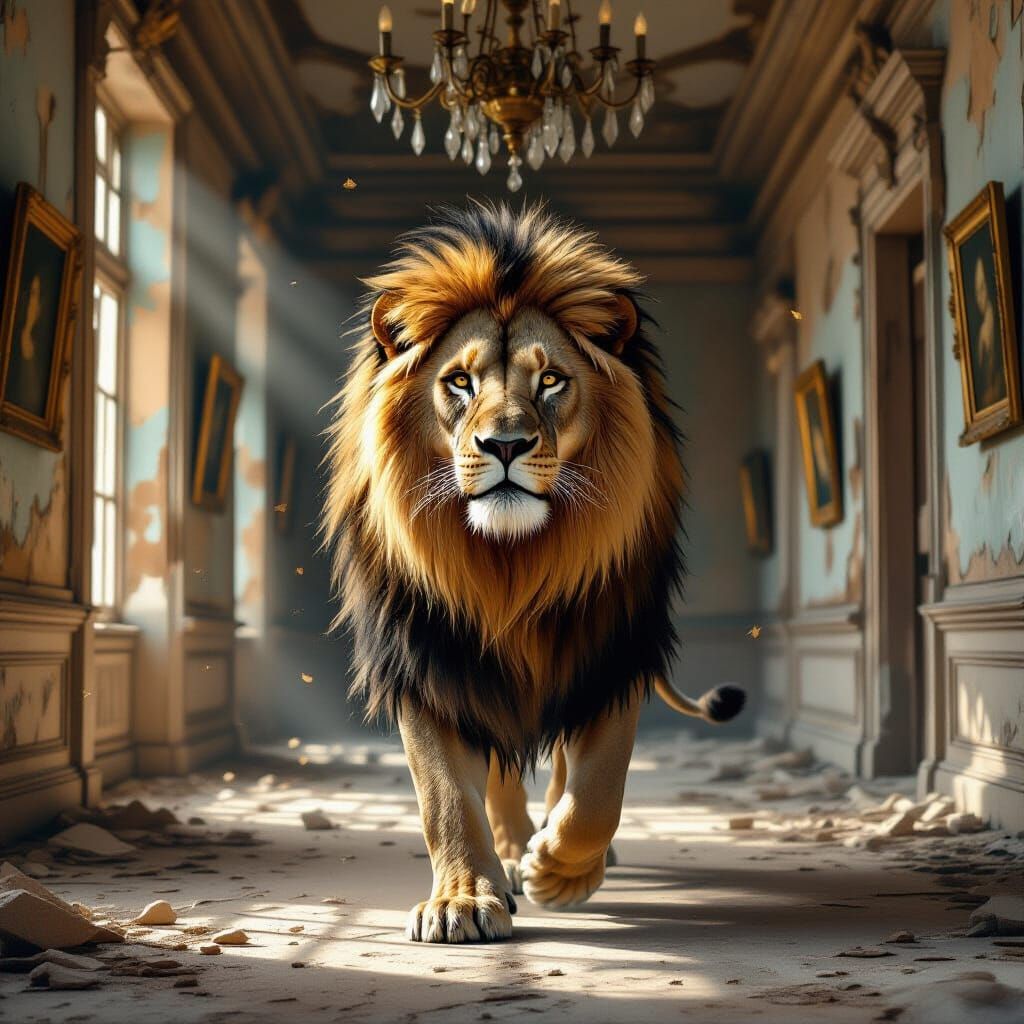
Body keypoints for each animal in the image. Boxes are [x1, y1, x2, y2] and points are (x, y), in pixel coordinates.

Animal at [323, 202, 744, 944]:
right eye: (459, 382)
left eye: (550, 381)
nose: (505, 444)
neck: (510, 566)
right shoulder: (429, 665)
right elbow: (445, 799)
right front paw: (463, 900)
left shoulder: (609, 656)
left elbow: (598, 789)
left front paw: (560, 871)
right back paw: (511, 851)